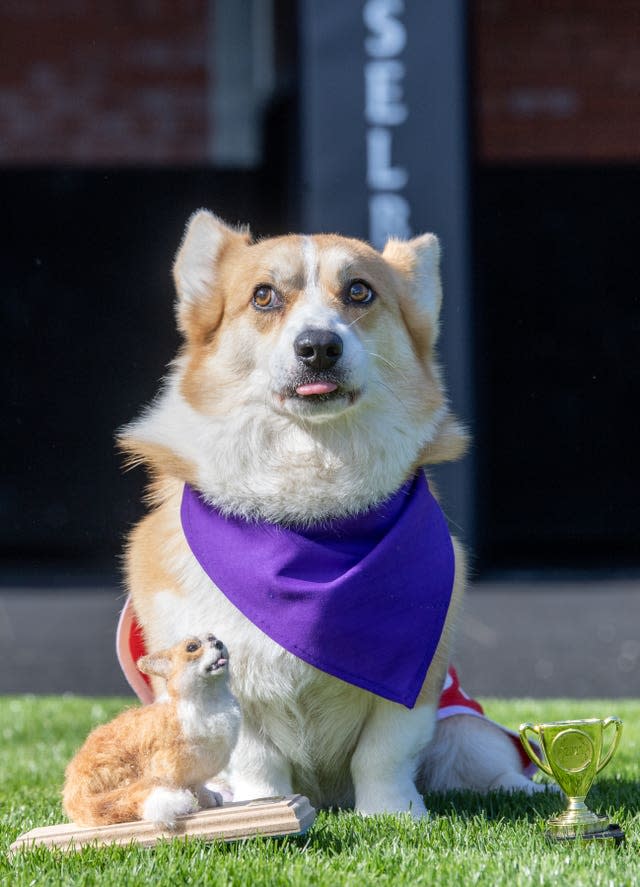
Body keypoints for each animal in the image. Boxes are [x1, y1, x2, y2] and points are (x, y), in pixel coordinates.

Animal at [63, 632, 240, 824]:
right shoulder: (168, 770)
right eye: (192, 647)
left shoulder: (198, 771)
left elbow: (199, 787)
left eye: (212, 638)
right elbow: (182, 786)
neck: (209, 699)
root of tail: (75, 795)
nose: (219, 643)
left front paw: (210, 799)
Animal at [119, 212, 540, 816]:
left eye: (360, 291)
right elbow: (256, 759)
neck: (311, 521)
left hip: (466, 725)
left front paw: (394, 815)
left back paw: (525, 787)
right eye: (263, 296)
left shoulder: (417, 679)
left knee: (482, 756)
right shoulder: (227, 677)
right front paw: (266, 809)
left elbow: (384, 753)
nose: (318, 347)